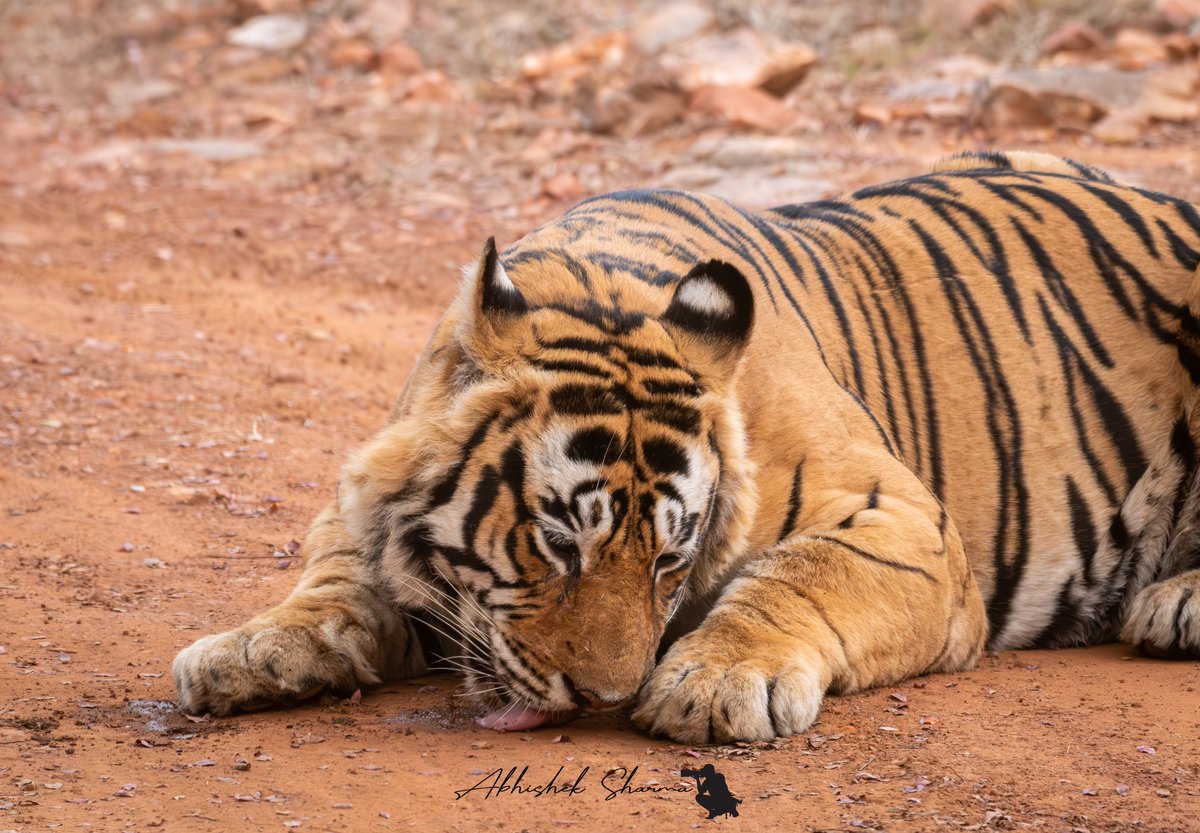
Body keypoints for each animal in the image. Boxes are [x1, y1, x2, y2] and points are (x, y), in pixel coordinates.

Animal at [173, 151, 1200, 744]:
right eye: (558, 544)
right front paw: (256, 648)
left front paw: (715, 679)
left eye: (672, 557)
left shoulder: (907, 521)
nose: (601, 699)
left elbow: (801, 573)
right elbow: (337, 574)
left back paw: (1175, 603)